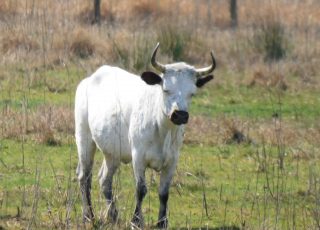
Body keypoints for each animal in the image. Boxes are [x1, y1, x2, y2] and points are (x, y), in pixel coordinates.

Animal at [74, 43, 215, 228]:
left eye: (192, 93)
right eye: (166, 89)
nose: (180, 115)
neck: (163, 130)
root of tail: (91, 78)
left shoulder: (172, 160)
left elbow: (164, 192)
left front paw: (162, 222)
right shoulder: (138, 157)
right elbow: (141, 190)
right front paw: (136, 221)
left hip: (113, 153)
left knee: (104, 180)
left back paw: (113, 215)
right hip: (84, 139)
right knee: (85, 178)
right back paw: (88, 216)